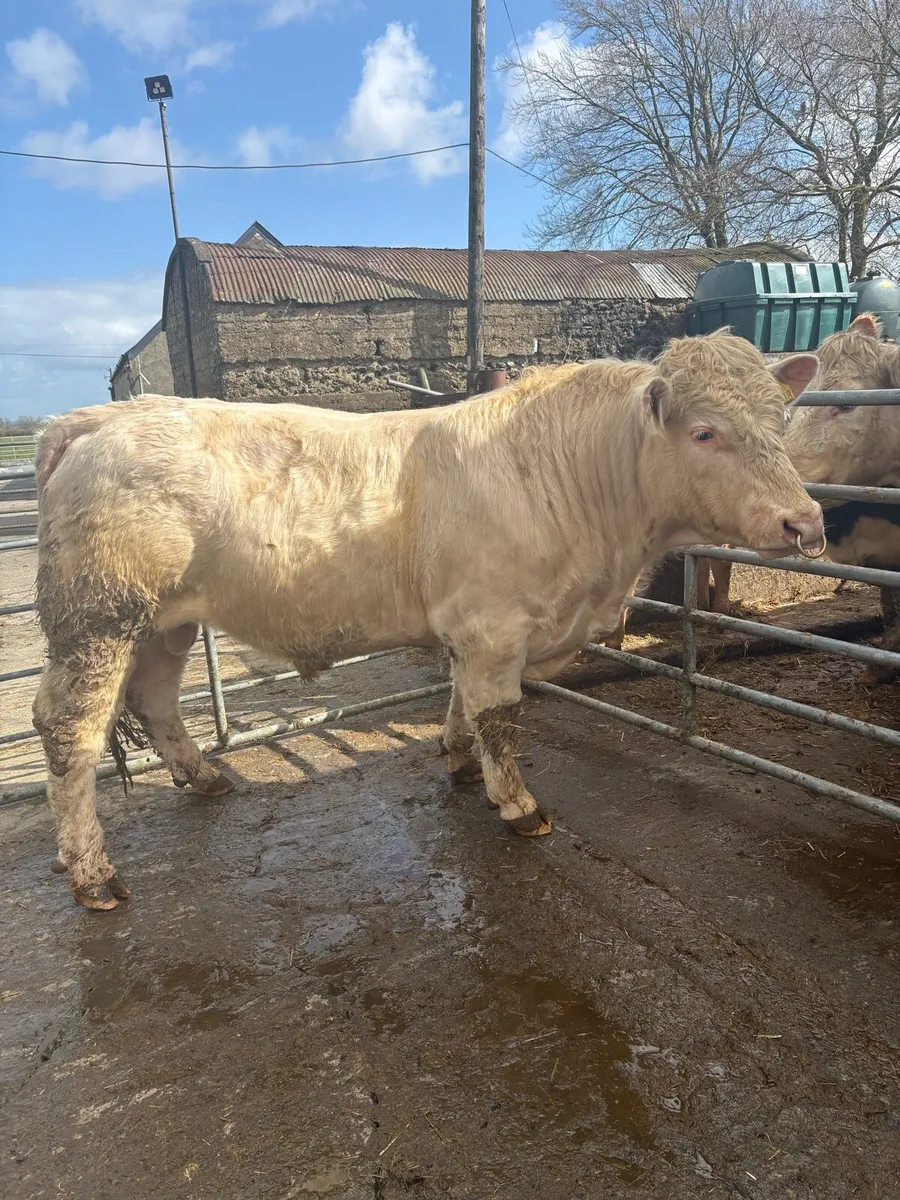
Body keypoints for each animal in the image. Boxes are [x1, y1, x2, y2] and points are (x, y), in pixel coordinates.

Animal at [32, 330, 823, 910]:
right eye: (705, 433)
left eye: (782, 418)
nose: (804, 520)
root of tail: (95, 418)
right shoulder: (495, 626)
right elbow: (500, 715)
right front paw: (517, 803)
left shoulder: (474, 629)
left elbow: (464, 701)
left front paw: (459, 760)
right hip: (98, 618)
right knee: (67, 729)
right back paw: (94, 874)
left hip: (162, 622)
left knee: (155, 699)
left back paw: (205, 778)